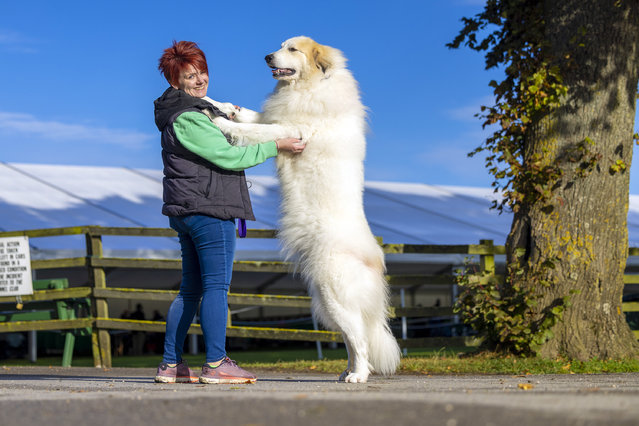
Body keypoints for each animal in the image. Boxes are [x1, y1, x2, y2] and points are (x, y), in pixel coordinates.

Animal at [209, 36, 400, 382]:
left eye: (293, 50)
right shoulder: (274, 115)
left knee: (360, 339)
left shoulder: (288, 128)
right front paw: (216, 104)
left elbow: (255, 131)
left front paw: (217, 121)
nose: (267, 56)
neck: (309, 85)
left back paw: (358, 376)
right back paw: (347, 372)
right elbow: (246, 113)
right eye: (281, 45)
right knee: (351, 339)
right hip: (325, 301)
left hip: (334, 294)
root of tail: (375, 259)